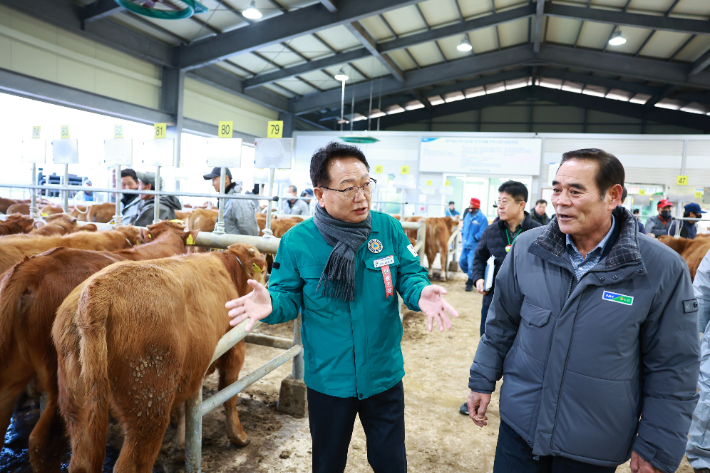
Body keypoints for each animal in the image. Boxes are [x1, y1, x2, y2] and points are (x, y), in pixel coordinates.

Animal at [51, 243, 266, 472]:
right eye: (263, 271)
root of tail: (98, 291)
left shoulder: (188, 371)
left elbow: (184, 406)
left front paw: (182, 447)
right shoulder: (235, 349)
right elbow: (230, 395)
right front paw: (238, 435)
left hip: (76, 405)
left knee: (80, 459)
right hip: (149, 406)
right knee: (132, 463)